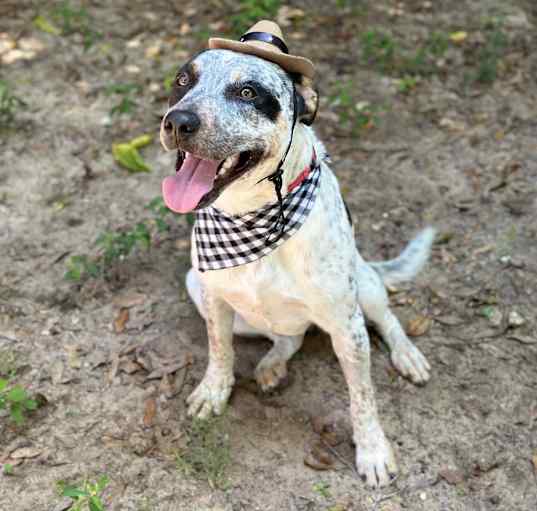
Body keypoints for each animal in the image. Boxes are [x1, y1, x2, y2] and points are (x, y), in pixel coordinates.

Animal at [158, 34, 432, 490]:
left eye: (248, 92)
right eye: (183, 80)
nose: (178, 122)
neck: (253, 216)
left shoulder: (348, 328)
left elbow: (363, 397)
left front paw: (373, 451)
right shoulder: (214, 301)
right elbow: (220, 351)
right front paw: (214, 391)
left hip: (365, 287)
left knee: (388, 320)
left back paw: (407, 355)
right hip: (197, 287)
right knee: (290, 338)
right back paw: (272, 365)